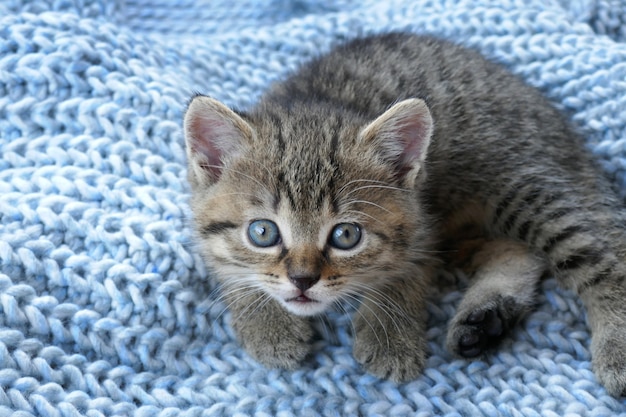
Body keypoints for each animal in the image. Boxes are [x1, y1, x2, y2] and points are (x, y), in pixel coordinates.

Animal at [183, 33, 624, 396]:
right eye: (262, 232)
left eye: (346, 236)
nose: (303, 281)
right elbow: (227, 266)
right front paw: (266, 323)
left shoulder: (421, 227)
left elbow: (402, 272)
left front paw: (388, 337)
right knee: (521, 252)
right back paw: (485, 318)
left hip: (523, 187)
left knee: (605, 257)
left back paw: (615, 349)